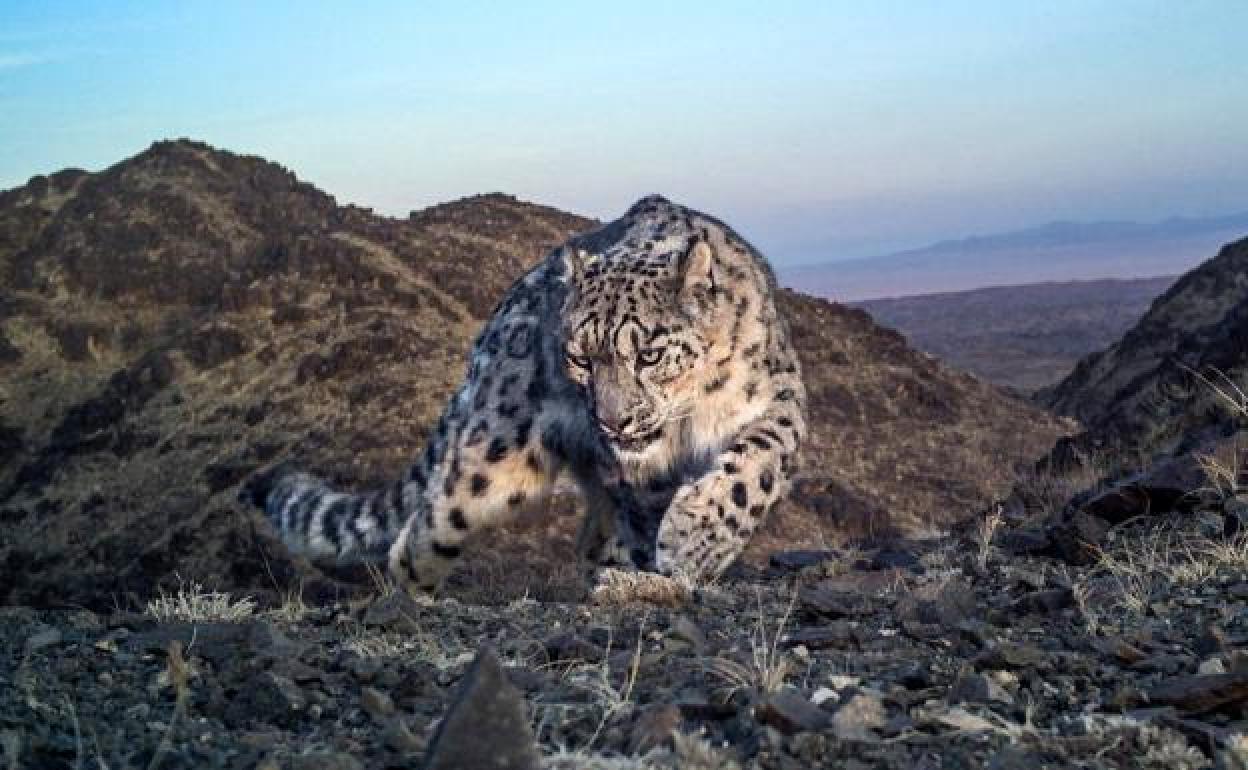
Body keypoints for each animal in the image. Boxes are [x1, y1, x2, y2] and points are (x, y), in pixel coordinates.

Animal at [241, 195, 807, 595]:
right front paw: (669, 556)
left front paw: (695, 540)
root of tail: (492, 326)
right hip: (490, 460)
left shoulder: (779, 397)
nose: (613, 421)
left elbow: (755, 464)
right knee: (423, 531)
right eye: (580, 358)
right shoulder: (633, 472)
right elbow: (646, 507)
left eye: (648, 355)